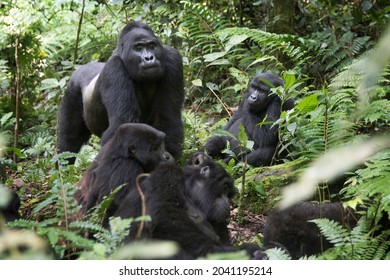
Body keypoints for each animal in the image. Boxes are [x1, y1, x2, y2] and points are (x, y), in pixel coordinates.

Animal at [58, 20, 185, 163]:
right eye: (138, 48)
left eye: (152, 46)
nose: (149, 58)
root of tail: (79, 68)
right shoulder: (114, 69)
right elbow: (123, 123)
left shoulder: (173, 59)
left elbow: (167, 116)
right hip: (72, 89)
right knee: (69, 141)